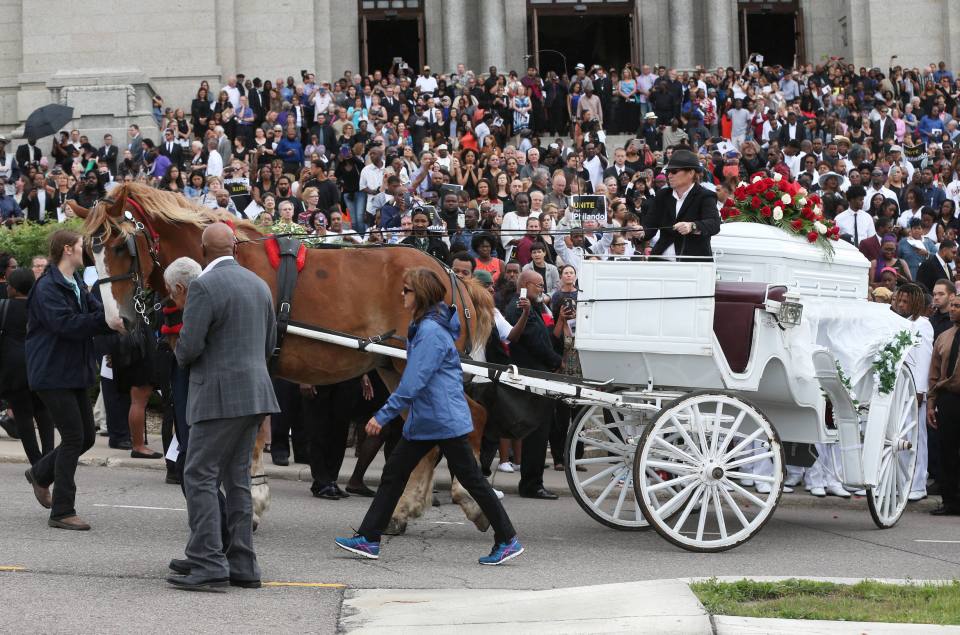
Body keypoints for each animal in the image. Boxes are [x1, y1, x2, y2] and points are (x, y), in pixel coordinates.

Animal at [69, 183, 496, 536]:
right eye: (90, 251)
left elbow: (252, 438)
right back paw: (404, 510)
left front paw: (252, 505)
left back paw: (470, 500)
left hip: (413, 365)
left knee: (472, 418)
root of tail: (451, 275)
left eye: (120, 246)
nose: (117, 320)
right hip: (394, 368)